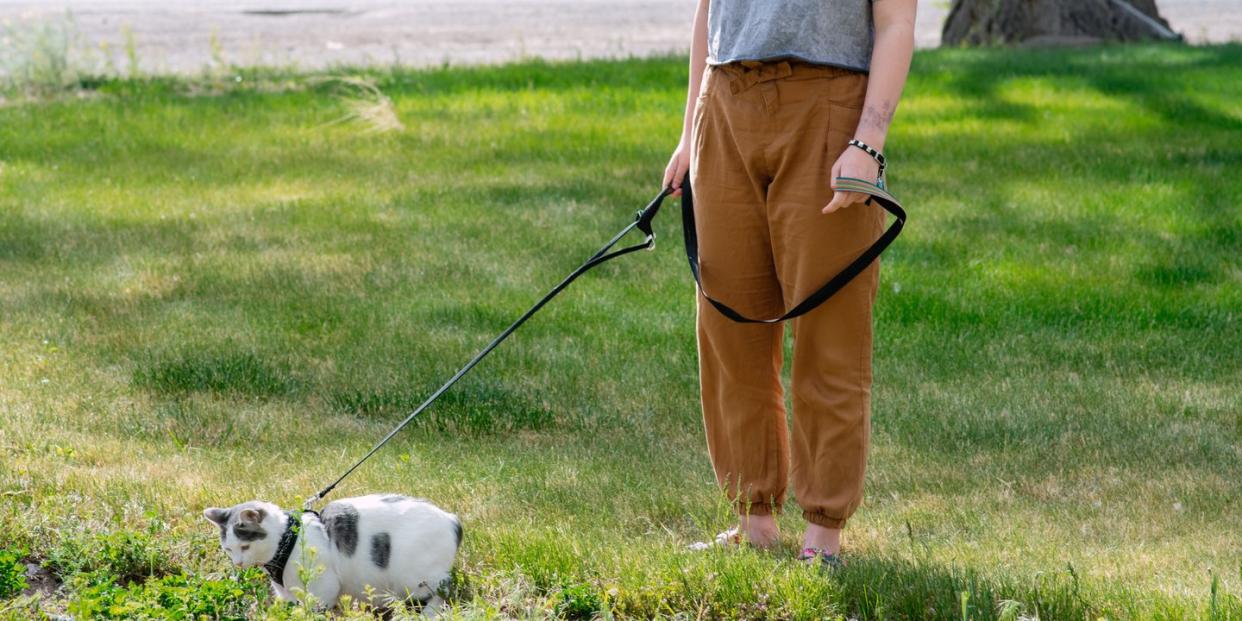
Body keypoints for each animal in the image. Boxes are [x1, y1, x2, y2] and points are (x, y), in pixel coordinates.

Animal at [206, 491, 464, 613]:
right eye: (228, 549)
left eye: (245, 547)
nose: (238, 563)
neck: (286, 541)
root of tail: (452, 518)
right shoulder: (288, 593)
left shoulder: (323, 588)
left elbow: (315, 610)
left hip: (414, 578)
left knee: (446, 591)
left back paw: (429, 613)